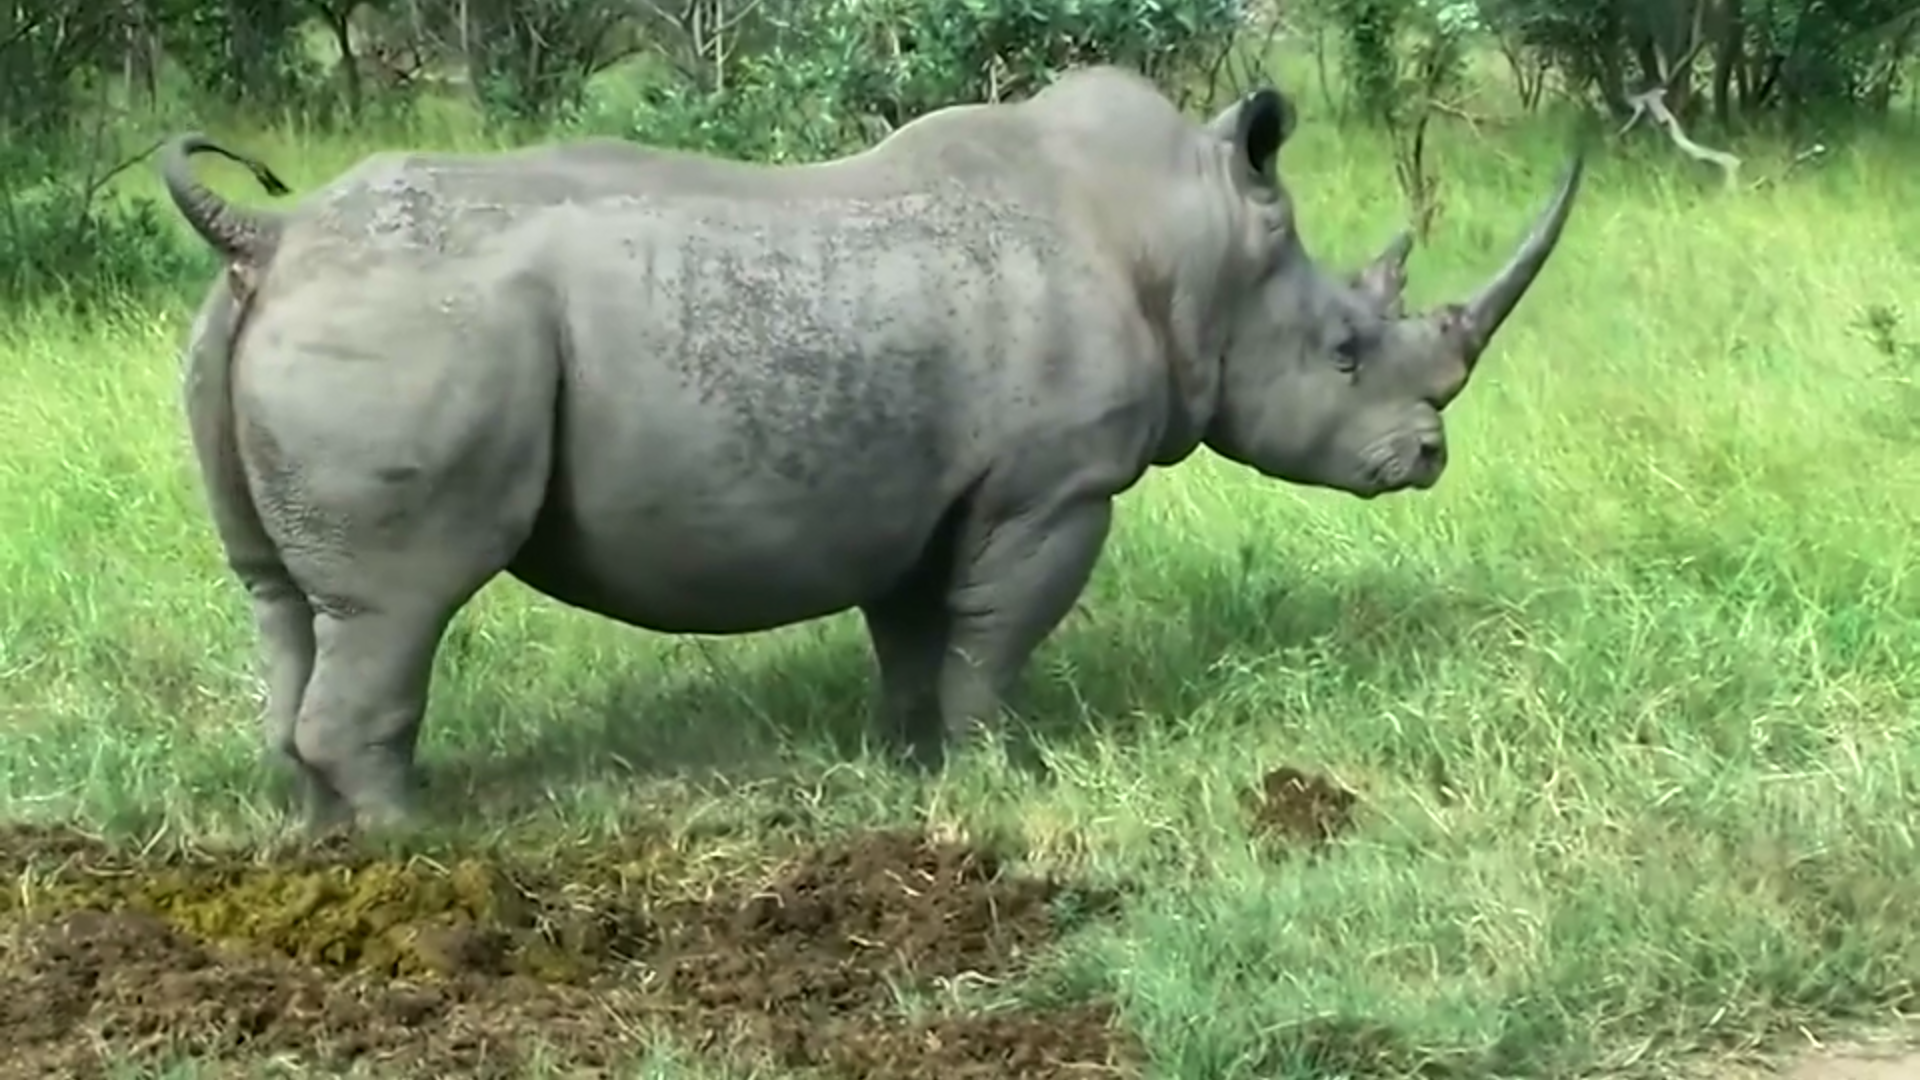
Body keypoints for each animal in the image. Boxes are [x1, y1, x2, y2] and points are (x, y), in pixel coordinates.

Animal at [161, 62, 1574, 826]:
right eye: (1344, 349)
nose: (1425, 460)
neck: (1191, 241)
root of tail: (270, 240)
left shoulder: (932, 485)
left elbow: (917, 630)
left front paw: (911, 766)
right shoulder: (1053, 486)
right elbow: (996, 635)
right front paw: (1003, 766)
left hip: (274, 329)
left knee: (288, 602)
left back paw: (321, 833)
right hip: (416, 328)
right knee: (403, 604)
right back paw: (418, 838)